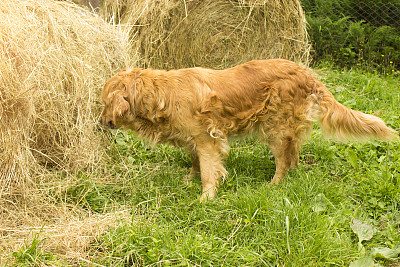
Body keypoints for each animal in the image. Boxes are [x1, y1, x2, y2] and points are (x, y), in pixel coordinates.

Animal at [99, 58, 396, 201]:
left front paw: (206, 196)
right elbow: (195, 162)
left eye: (104, 103)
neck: (163, 94)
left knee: (283, 160)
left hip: (275, 128)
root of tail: (306, 72)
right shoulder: (193, 139)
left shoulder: (208, 139)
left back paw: (274, 185)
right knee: (294, 153)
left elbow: (208, 170)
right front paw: (189, 179)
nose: (100, 122)